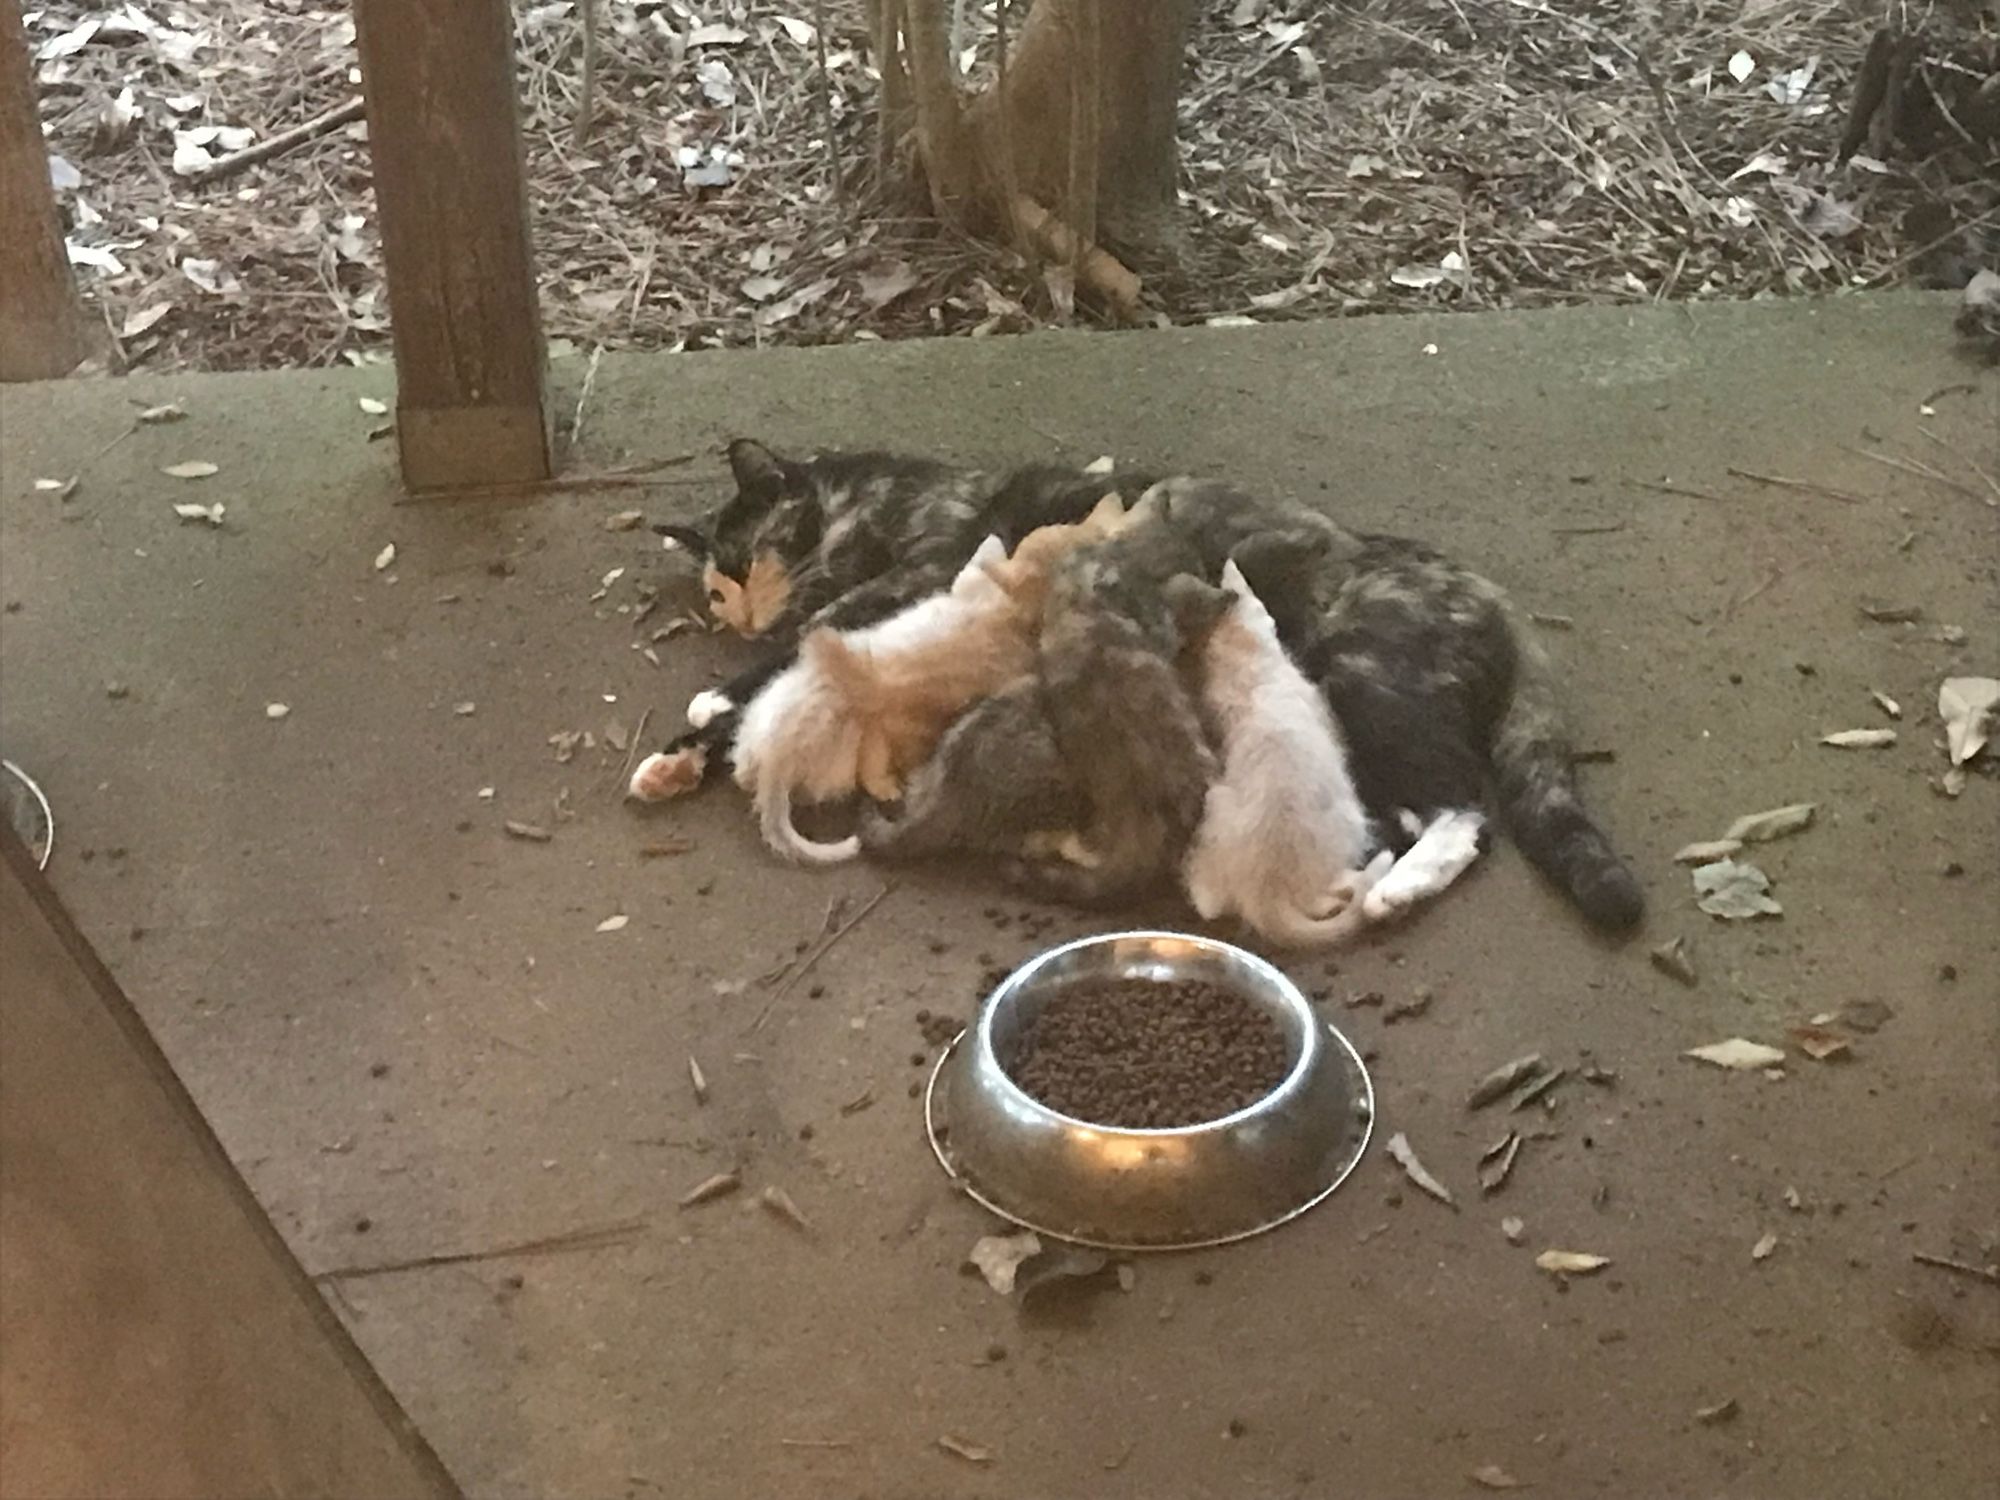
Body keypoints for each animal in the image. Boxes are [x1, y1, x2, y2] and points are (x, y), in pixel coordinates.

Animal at [1168, 564, 1392, 952]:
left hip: (1214, 804)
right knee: (1329, 896)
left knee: (1206, 901)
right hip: (1351, 821)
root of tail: (1263, 893)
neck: (1245, 672)